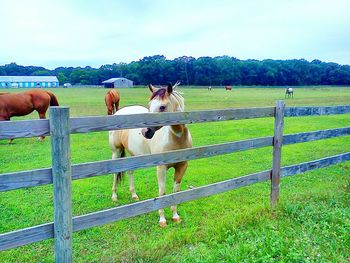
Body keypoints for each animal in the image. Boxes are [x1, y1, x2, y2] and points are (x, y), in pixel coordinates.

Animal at [108, 82, 193, 227]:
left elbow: (175, 191)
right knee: (115, 173)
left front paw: (175, 216)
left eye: (162, 107)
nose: (145, 131)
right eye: (149, 105)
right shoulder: (161, 168)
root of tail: (119, 112)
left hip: (133, 154)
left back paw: (134, 195)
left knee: (130, 172)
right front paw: (162, 220)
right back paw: (114, 196)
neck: (175, 138)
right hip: (116, 152)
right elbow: (162, 192)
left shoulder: (182, 167)